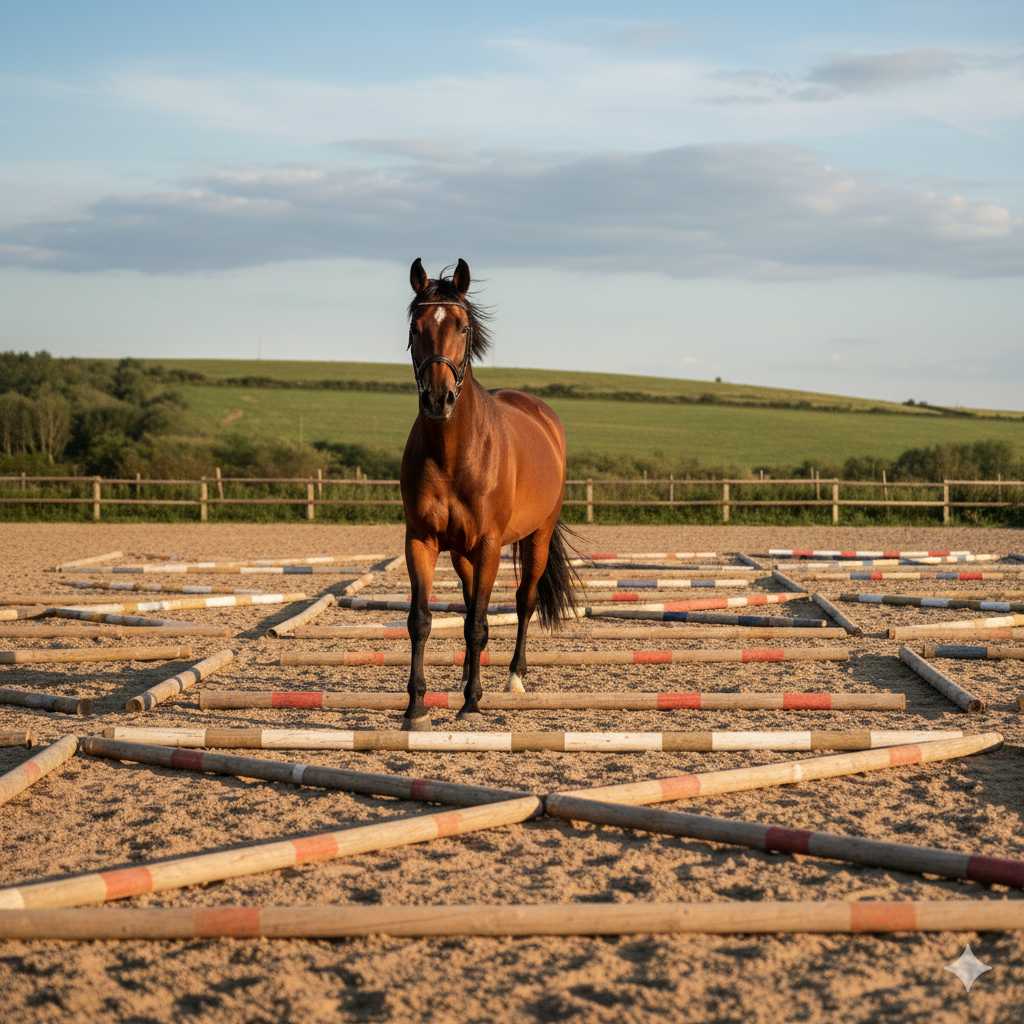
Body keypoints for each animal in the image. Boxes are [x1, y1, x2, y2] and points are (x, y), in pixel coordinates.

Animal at [399, 257, 577, 730]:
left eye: (462, 327)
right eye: (416, 326)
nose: (438, 399)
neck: (453, 451)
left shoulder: (489, 545)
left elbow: (479, 622)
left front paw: (471, 701)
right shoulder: (420, 540)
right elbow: (421, 620)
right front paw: (415, 707)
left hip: (535, 538)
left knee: (523, 601)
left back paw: (514, 677)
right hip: (462, 553)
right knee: (467, 605)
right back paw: (466, 673)